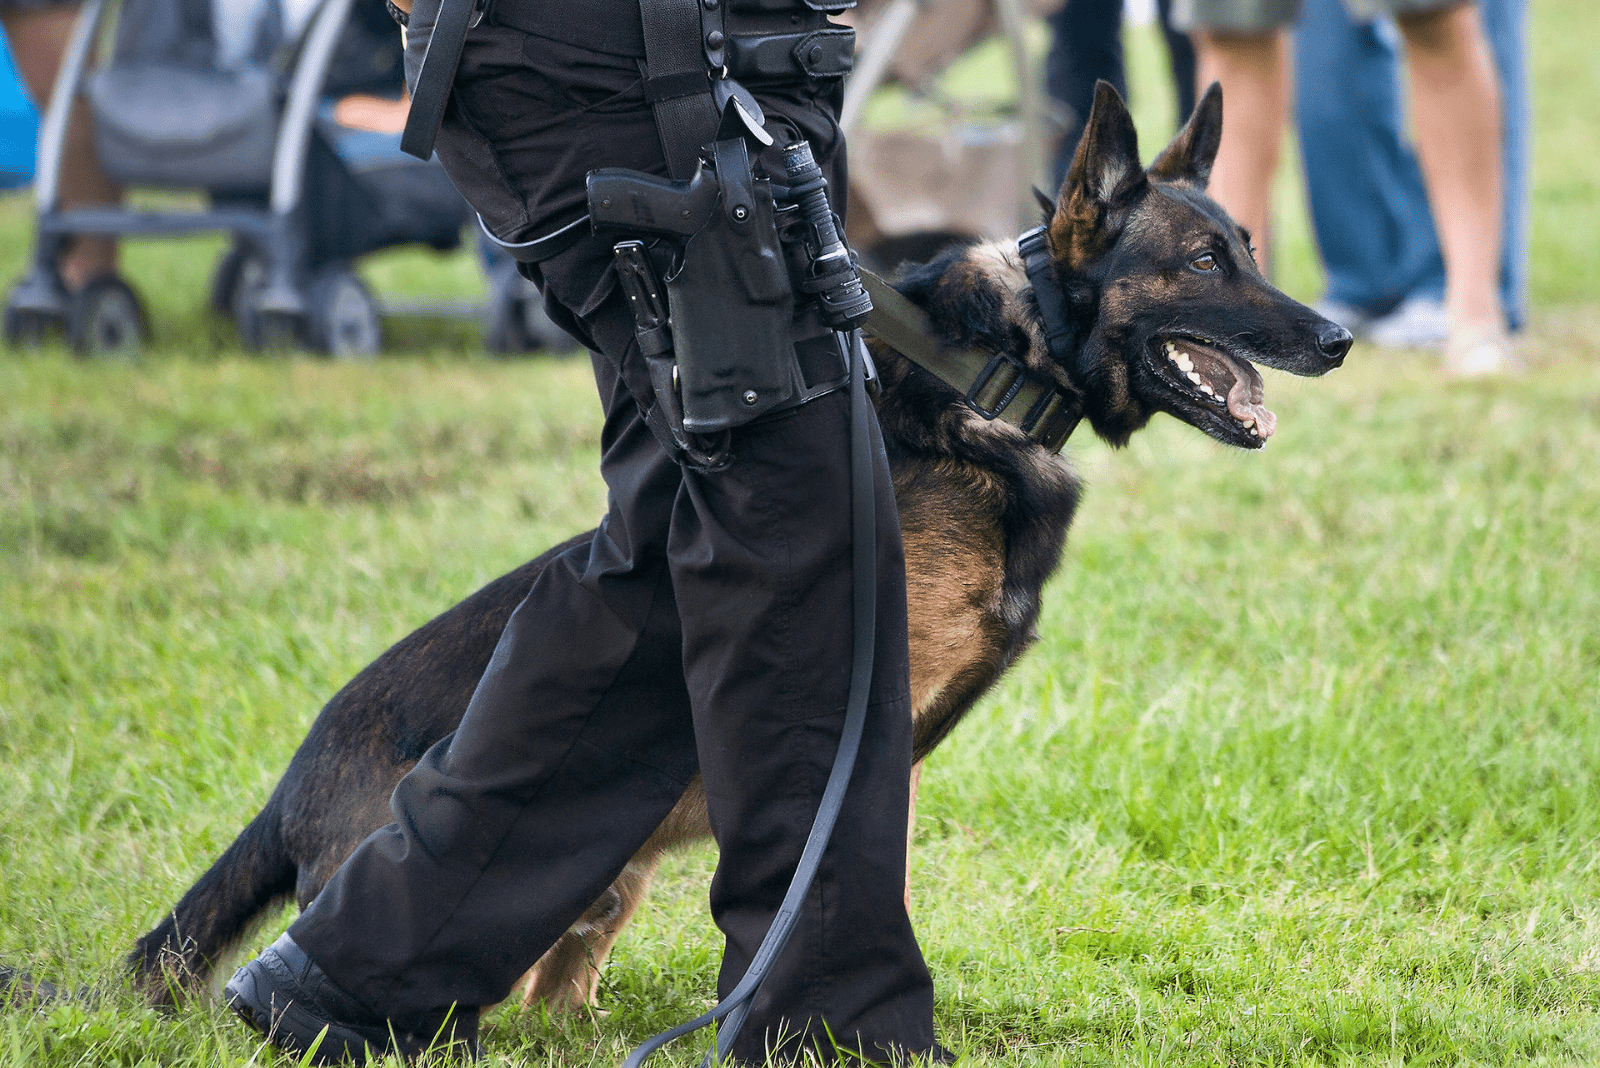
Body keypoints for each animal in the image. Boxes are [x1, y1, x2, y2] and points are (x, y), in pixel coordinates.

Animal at [118, 83, 1356, 1016]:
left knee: (554, 1003)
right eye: (1201, 264)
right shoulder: (866, 721)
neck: (999, 373)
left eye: (1248, 248)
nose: (1339, 337)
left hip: (607, 891)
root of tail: (291, 785)